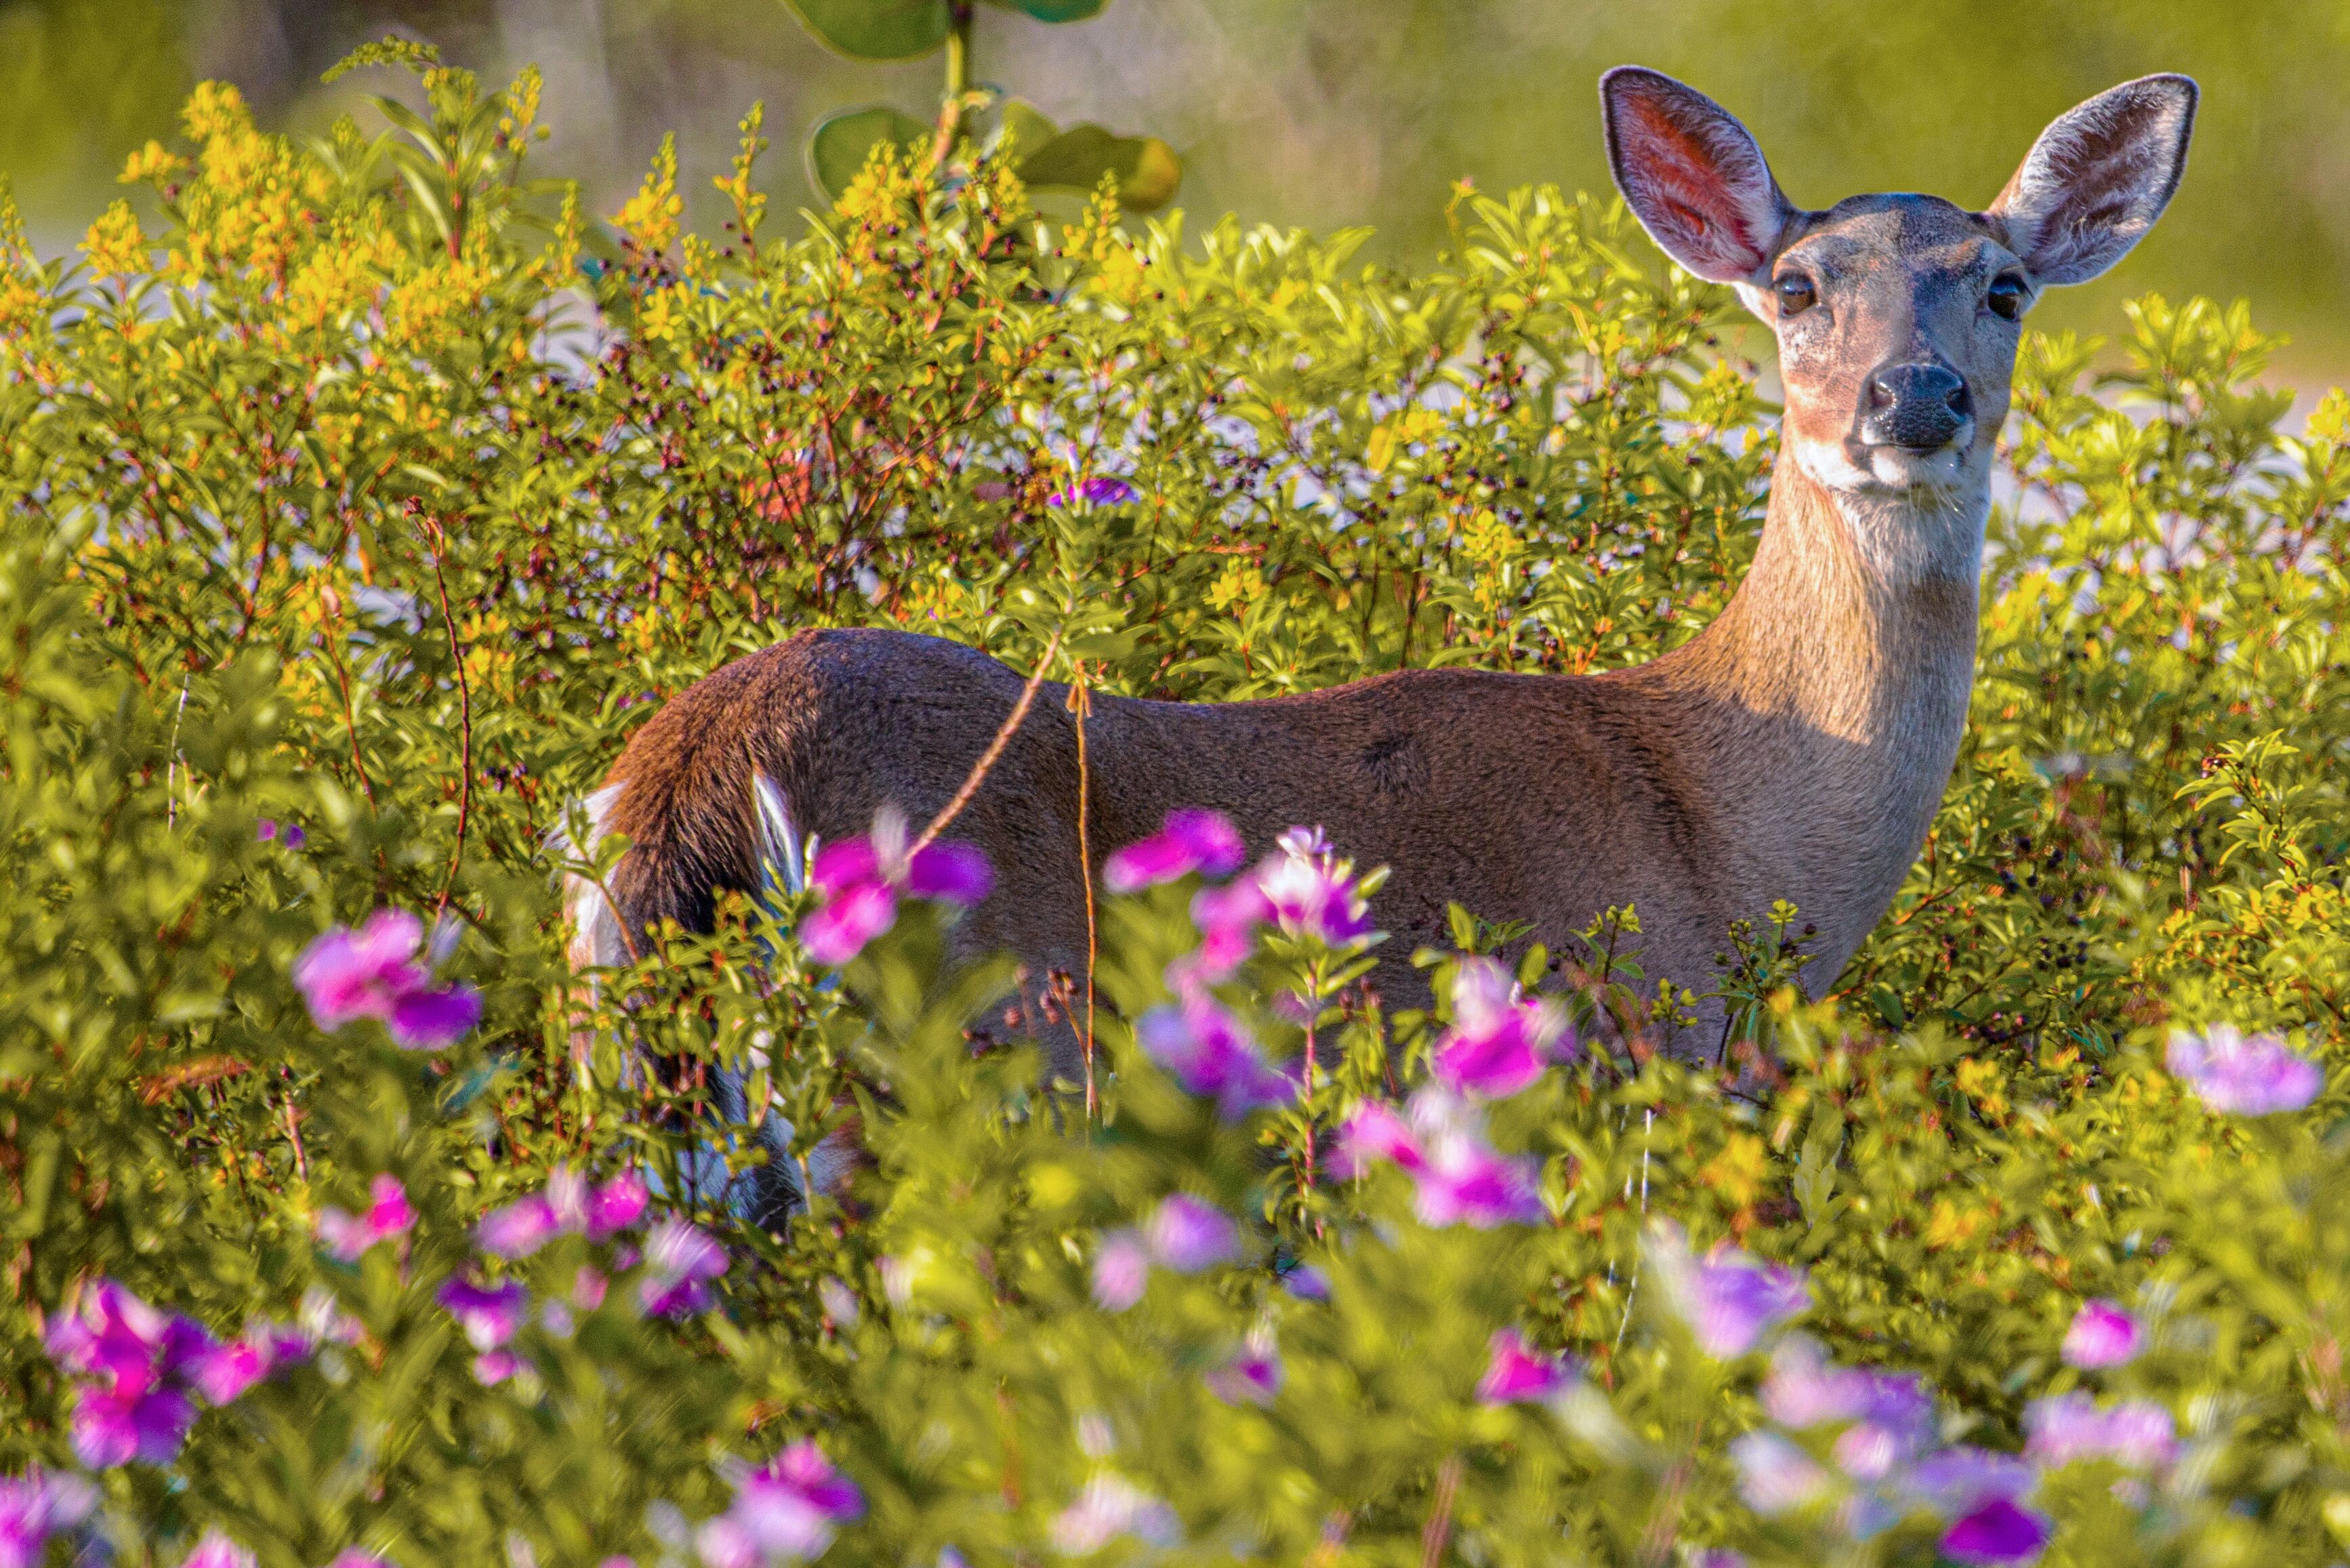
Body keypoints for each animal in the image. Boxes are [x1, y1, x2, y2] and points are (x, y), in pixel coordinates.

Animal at [562, 66, 2196, 1215]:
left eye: (2003, 287)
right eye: (1796, 288)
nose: (1913, 397)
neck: (1722, 822)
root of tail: (693, 768)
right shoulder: (1611, 1058)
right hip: (976, 1041)